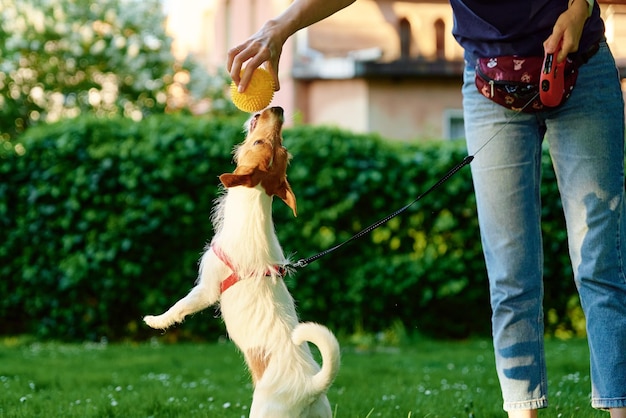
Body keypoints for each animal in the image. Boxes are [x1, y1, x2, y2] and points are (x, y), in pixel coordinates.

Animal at [143, 106, 338, 416]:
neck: (254, 207)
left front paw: (155, 320)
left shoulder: (207, 288)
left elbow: (180, 306)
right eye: (284, 150)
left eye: (260, 143)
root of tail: (310, 387)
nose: (278, 109)